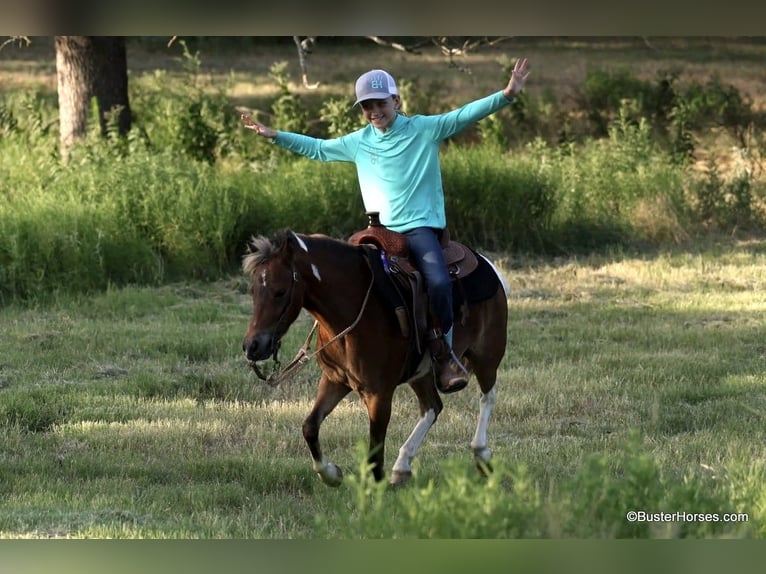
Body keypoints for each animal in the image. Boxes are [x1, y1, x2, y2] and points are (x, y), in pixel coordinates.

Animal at [241, 228, 508, 486]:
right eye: (252, 290)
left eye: (280, 291)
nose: (252, 346)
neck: (354, 308)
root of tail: (488, 265)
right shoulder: (335, 381)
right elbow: (310, 426)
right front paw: (330, 474)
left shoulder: (379, 394)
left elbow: (375, 454)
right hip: (420, 373)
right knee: (432, 407)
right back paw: (402, 467)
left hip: (487, 355)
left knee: (487, 396)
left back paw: (481, 453)